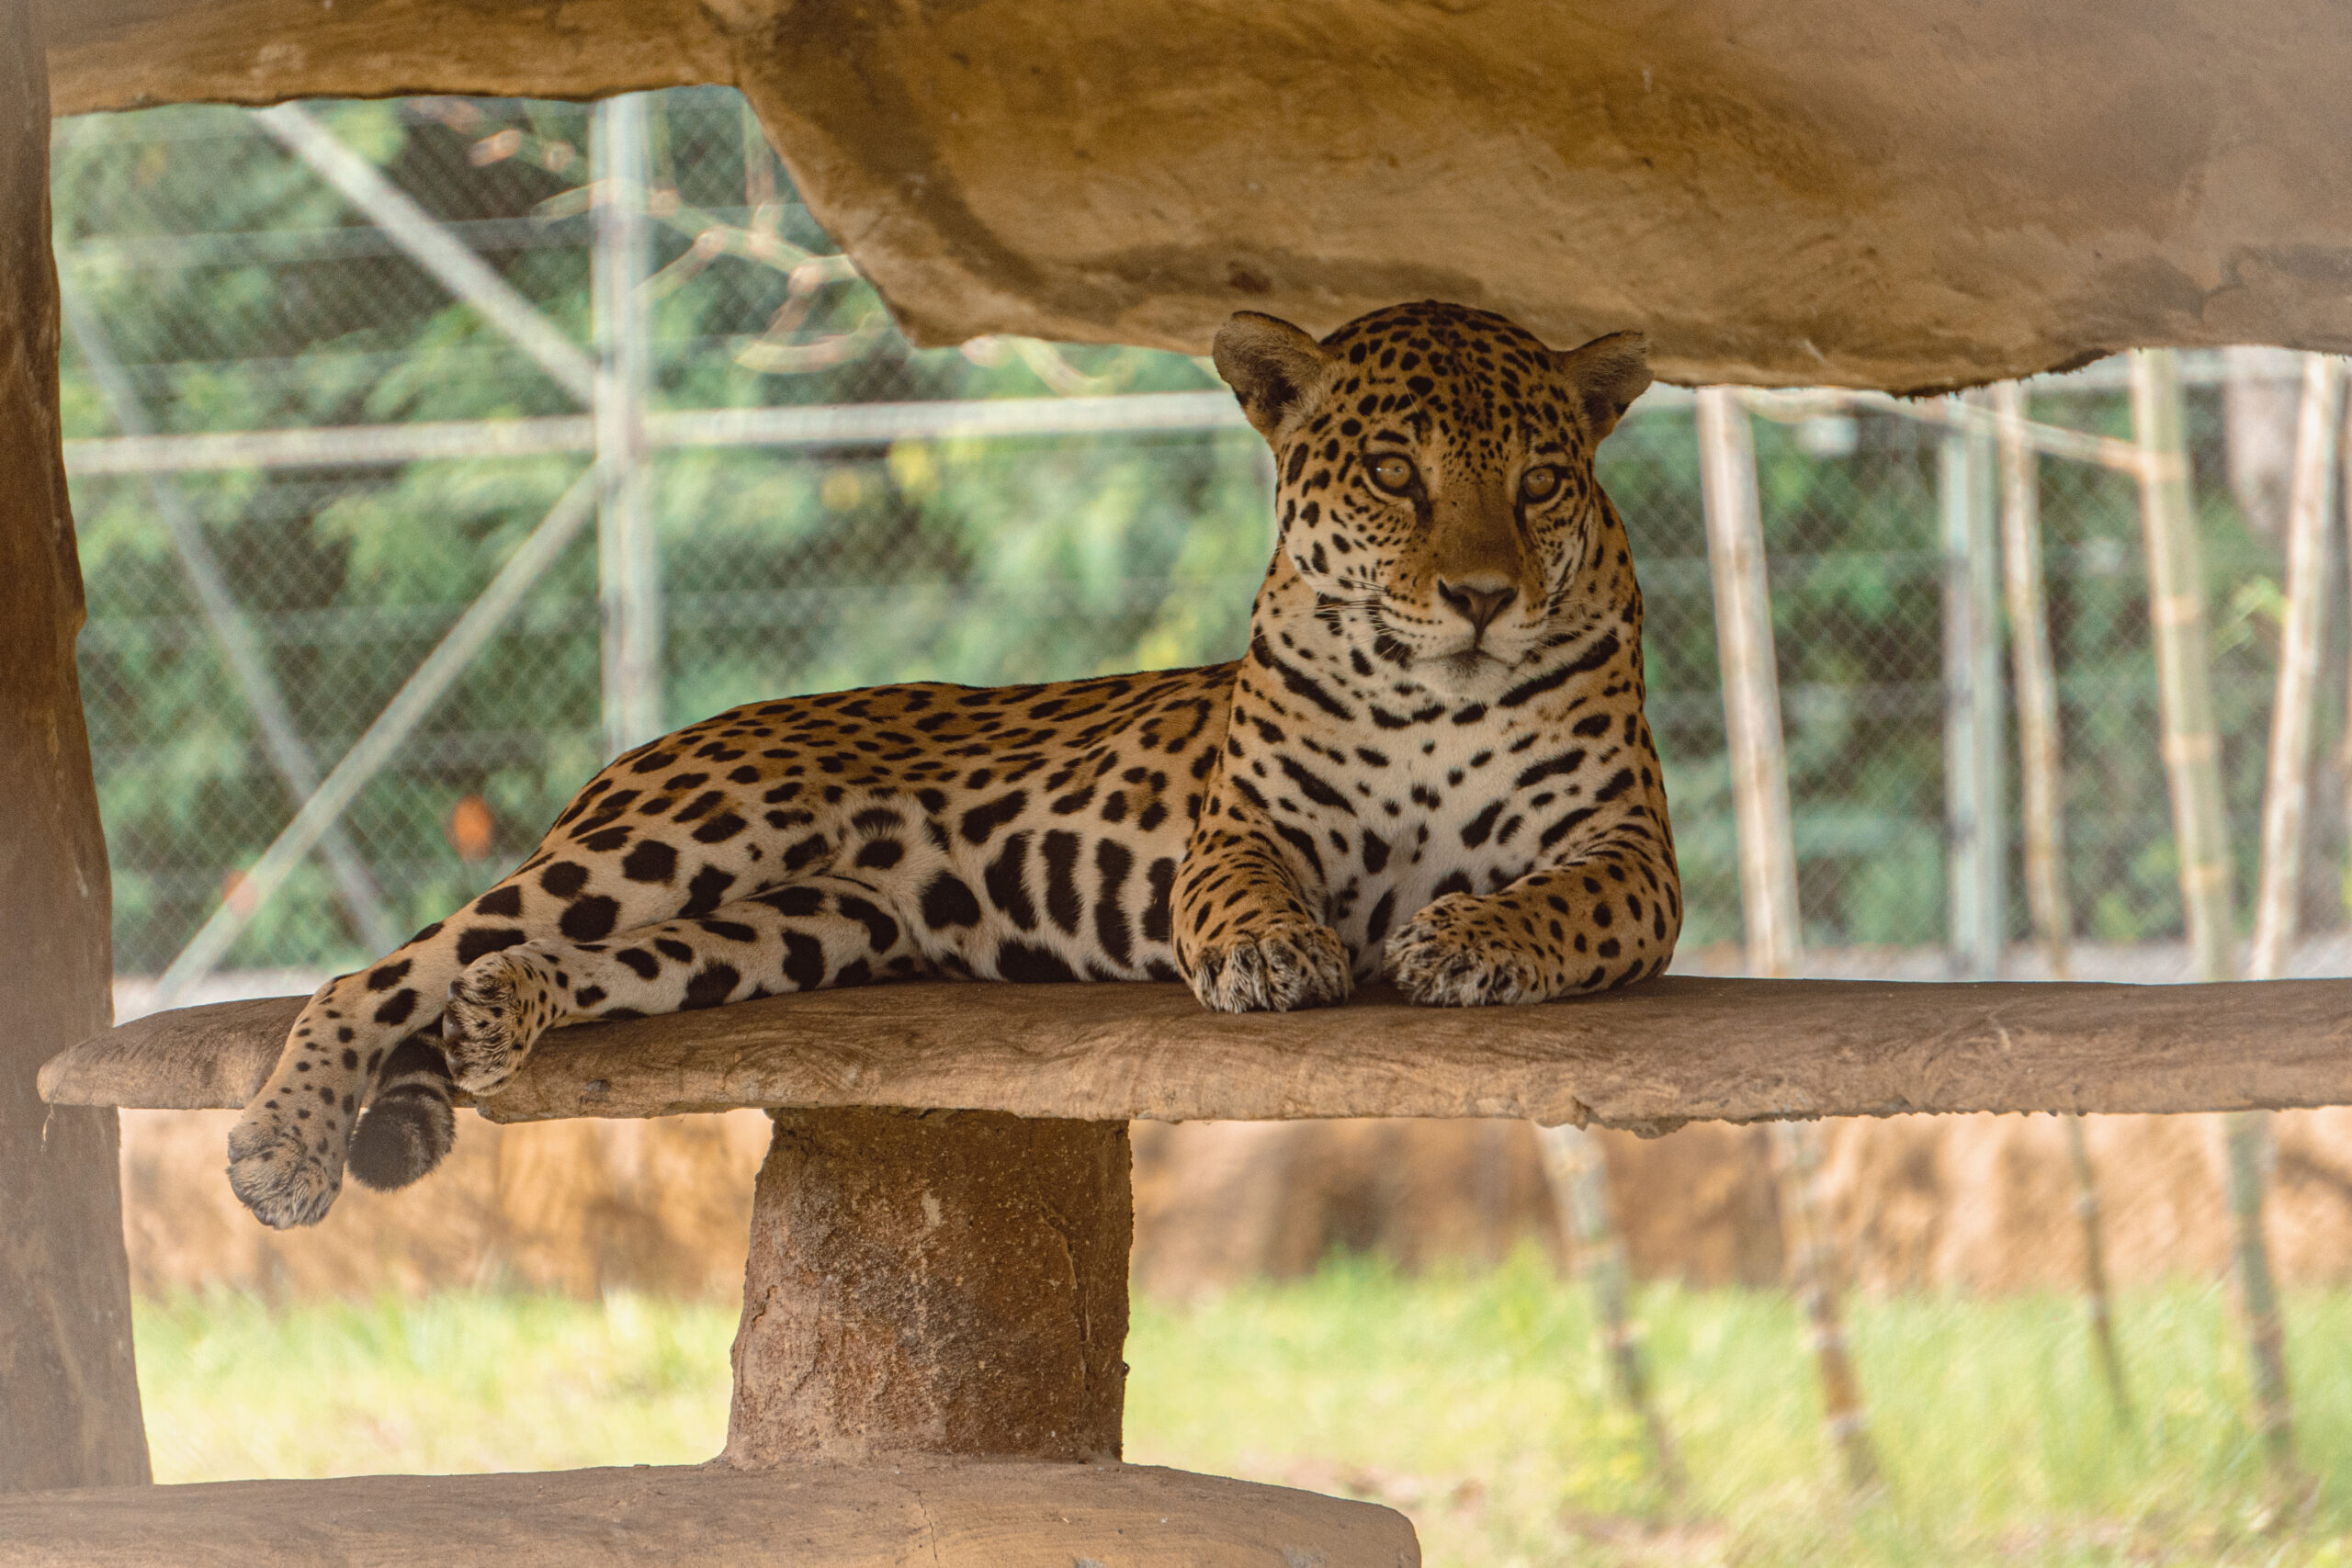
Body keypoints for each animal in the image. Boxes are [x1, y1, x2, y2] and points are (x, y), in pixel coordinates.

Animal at [224, 300, 1693, 1232]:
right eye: (1394, 471)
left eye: (1543, 480)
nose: (1483, 597)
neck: (1435, 694)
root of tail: (652, 741)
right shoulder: (1241, 828)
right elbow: (1242, 892)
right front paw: (1275, 952)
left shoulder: (1634, 855)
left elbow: (1554, 899)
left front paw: (1464, 938)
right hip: (677, 835)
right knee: (372, 974)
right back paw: (281, 1144)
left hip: (797, 929)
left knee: (558, 964)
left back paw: (501, 1009)